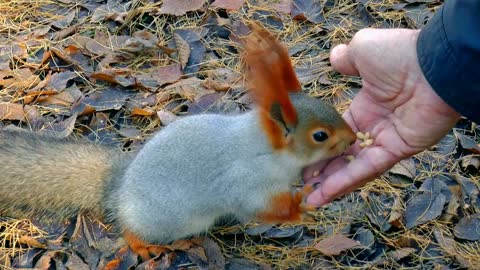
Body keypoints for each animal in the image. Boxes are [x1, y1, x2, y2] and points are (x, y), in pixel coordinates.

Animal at [0, 25, 356, 262]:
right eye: (320, 135)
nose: (353, 139)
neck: (265, 149)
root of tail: (118, 187)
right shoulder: (244, 182)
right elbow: (256, 207)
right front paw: (299, 207)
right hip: (167, 219)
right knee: (131, 231)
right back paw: (145, 245)